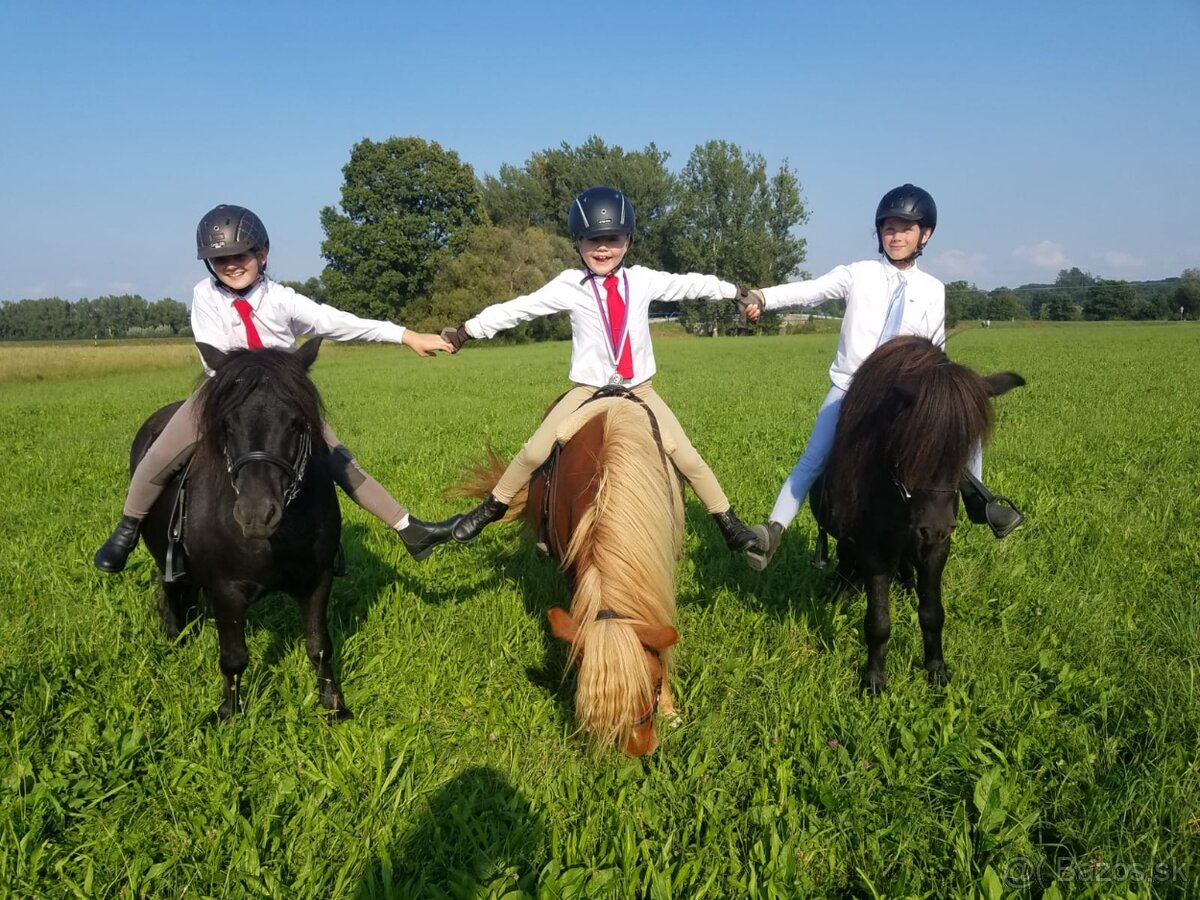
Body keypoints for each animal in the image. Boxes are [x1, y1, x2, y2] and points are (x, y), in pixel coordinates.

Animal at [132, 338, 349, 720]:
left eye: (297, 422)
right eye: (228, 425)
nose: (256, 514)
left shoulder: (318, 580)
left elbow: (319, 646)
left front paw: (334, 706)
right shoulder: (225, 590)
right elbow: (233, 658)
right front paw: (230, 715)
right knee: (171, 591)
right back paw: (175, 638)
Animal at [809, 335, 1025, 694]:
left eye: (967, 450)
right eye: (909, 444)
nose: (934, 527)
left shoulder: (936, 549)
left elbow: (932, 613)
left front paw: (936, 671)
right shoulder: (872, 547)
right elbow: (878, 620)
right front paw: (874, 680)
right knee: (848, 565)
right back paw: (845, 591)